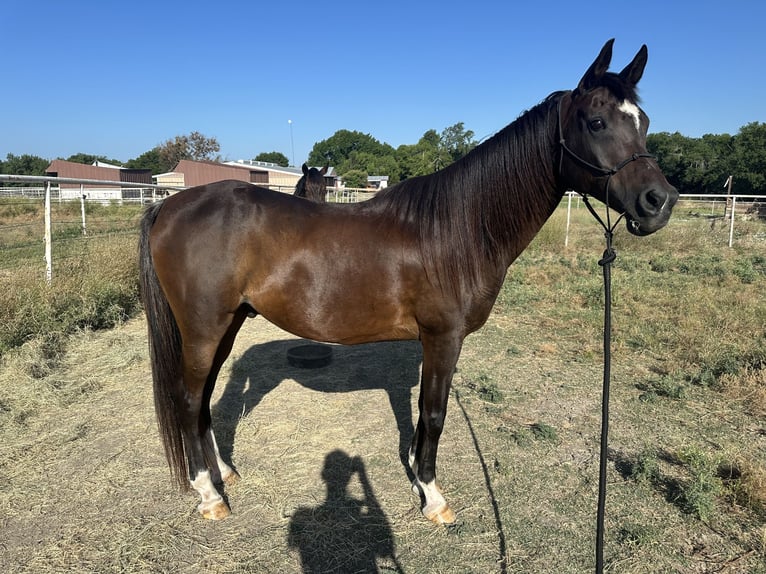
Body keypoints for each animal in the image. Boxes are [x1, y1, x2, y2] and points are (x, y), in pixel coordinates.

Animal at [138, 39, 680, 528]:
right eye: (596, 122)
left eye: (644, 122)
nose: (660, 201)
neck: (458, 228)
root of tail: (169, 205)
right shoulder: (443, 337)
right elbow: (434, 414)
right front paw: (433, 497)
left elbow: (423, 415)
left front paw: (419, 478)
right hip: (204, 328)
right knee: (188, 399)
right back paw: (210, 494)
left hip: (226, 325)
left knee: (204, 399)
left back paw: (224, 472)